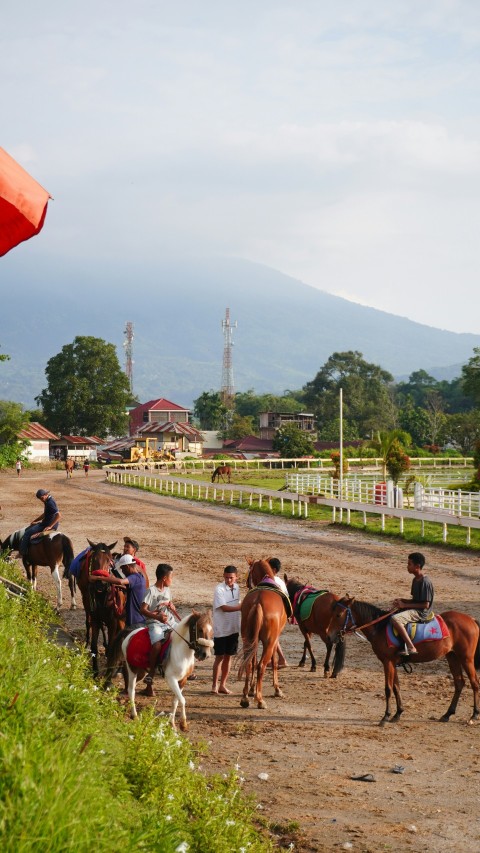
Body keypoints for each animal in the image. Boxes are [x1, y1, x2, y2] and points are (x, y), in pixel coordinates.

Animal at [237, 556, 286, 708]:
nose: (247, 584)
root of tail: (258, 602)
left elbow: (252, 661)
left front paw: (251, 690)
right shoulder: (275, 639)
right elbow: (274, 661)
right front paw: (277, 689)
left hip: (247, 638)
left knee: (249, 663)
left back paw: (245, 698)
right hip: (269, 642)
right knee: (261, 665)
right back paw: (260, 700)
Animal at [326, 592, 480, 724]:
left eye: (338, 615)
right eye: (332, 613)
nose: (330, 635)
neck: (379, 627)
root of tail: (471, 620)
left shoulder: (387, 662)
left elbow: (388, 689)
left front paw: (386, 716)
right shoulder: (392, 663)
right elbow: (396, 687)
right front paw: (398, 713)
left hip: (466, 658)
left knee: (474, 683)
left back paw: (474, 715)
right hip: (452, 656)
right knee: (459, 683)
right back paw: (448, 714)